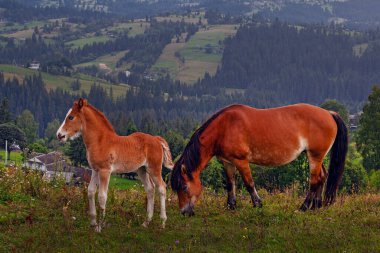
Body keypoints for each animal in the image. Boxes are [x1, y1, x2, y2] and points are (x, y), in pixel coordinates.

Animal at [56, 98, 175, 231]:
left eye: (71, 117)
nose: (59, 135)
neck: (100, 141)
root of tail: (156, 139)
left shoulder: (105, 171)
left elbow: (102, 196)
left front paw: (100, 226)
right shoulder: (95, 170)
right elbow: (91, 192)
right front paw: (93, 223)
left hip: (154, 169)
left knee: (162, 188)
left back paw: (163, 222)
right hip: (142, 170)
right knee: (150, 189)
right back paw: (146, 222)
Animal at [171, 103, 348, 215]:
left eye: (184, 187)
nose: (184, 212)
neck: (224, 128)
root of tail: (329, 113)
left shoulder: (241, 161)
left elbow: (249, 183)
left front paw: (258, 203)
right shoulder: (227, 162)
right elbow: (230, 184)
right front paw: (231, 206)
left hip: (315, 157)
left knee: (314, 181)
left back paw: (304, 207)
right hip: (316, 157)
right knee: (322, 177)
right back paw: (316, 206)